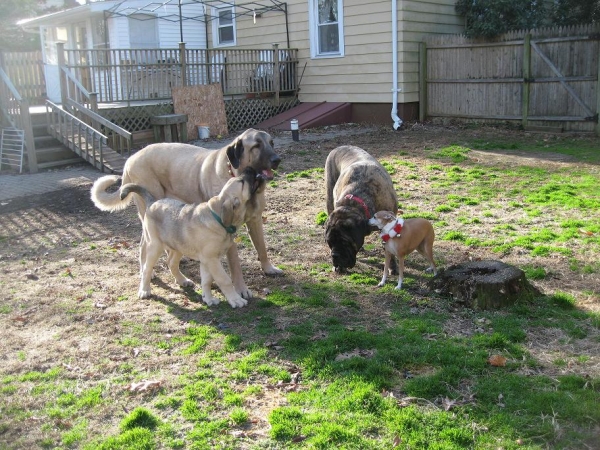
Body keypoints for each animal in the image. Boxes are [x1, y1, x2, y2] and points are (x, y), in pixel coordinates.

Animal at [90, 128, 282, 300]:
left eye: (272, 143)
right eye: (256, 145)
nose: (277, 160)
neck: (232, 171)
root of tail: (129, 159)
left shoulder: (255, 220)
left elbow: (262, 247)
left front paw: (268, 268)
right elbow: (235, 264)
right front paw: (241, 289)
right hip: (147, 210)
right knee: (144, 245)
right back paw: (146, 274)